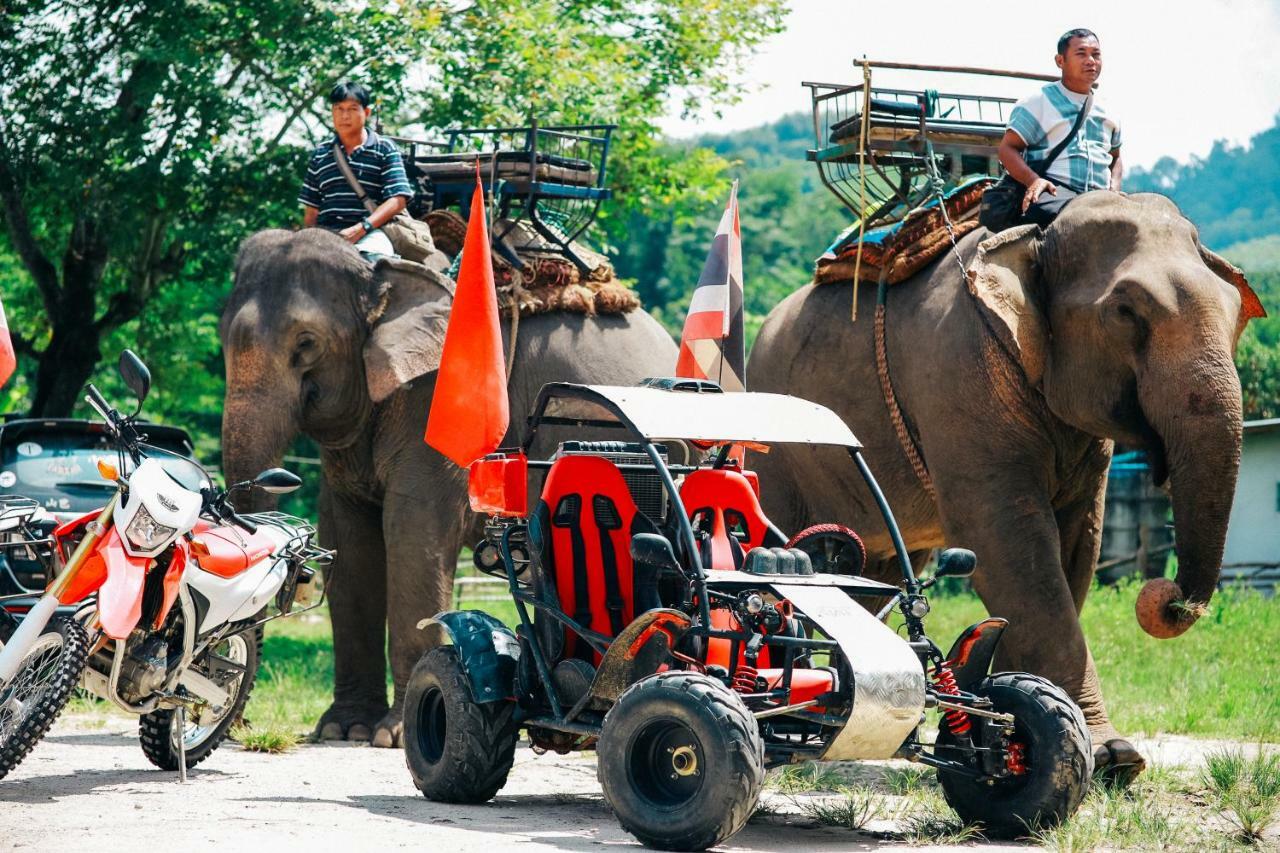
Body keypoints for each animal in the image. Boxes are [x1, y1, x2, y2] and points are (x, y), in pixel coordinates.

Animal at [220, 225, 680, 742]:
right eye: (221, 337)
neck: (380, 274)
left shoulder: (439, 397)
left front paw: (395, 734)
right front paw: (344, 731)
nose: (240, 726)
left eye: (306, 343)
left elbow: (412, 532)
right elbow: (349, 540)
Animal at [747, 192, 1254, 778]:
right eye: (1125, 313)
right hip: (777, 444)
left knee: (873, 571)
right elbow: (1009, 548)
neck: (1036, 235)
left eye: (1237, 312)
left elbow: (1077, 547)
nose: (1166, 597)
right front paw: (1113, 758)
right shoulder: (958, 374)